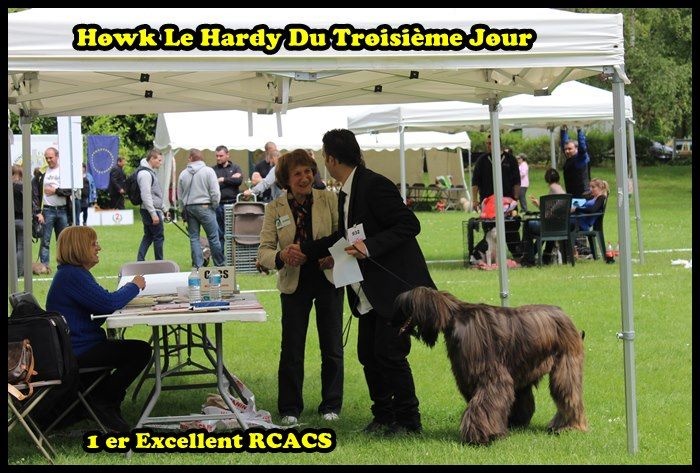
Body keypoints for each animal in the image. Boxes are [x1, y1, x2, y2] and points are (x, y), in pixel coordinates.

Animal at [393, 286, 587, 445]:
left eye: (403, 308)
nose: (392, 321)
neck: (454, 317)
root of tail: (566, 318)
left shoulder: (490, 375)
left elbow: (484, 403)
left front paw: (480, 435)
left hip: (565, 365)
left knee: (568, 394)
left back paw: (568, 426)